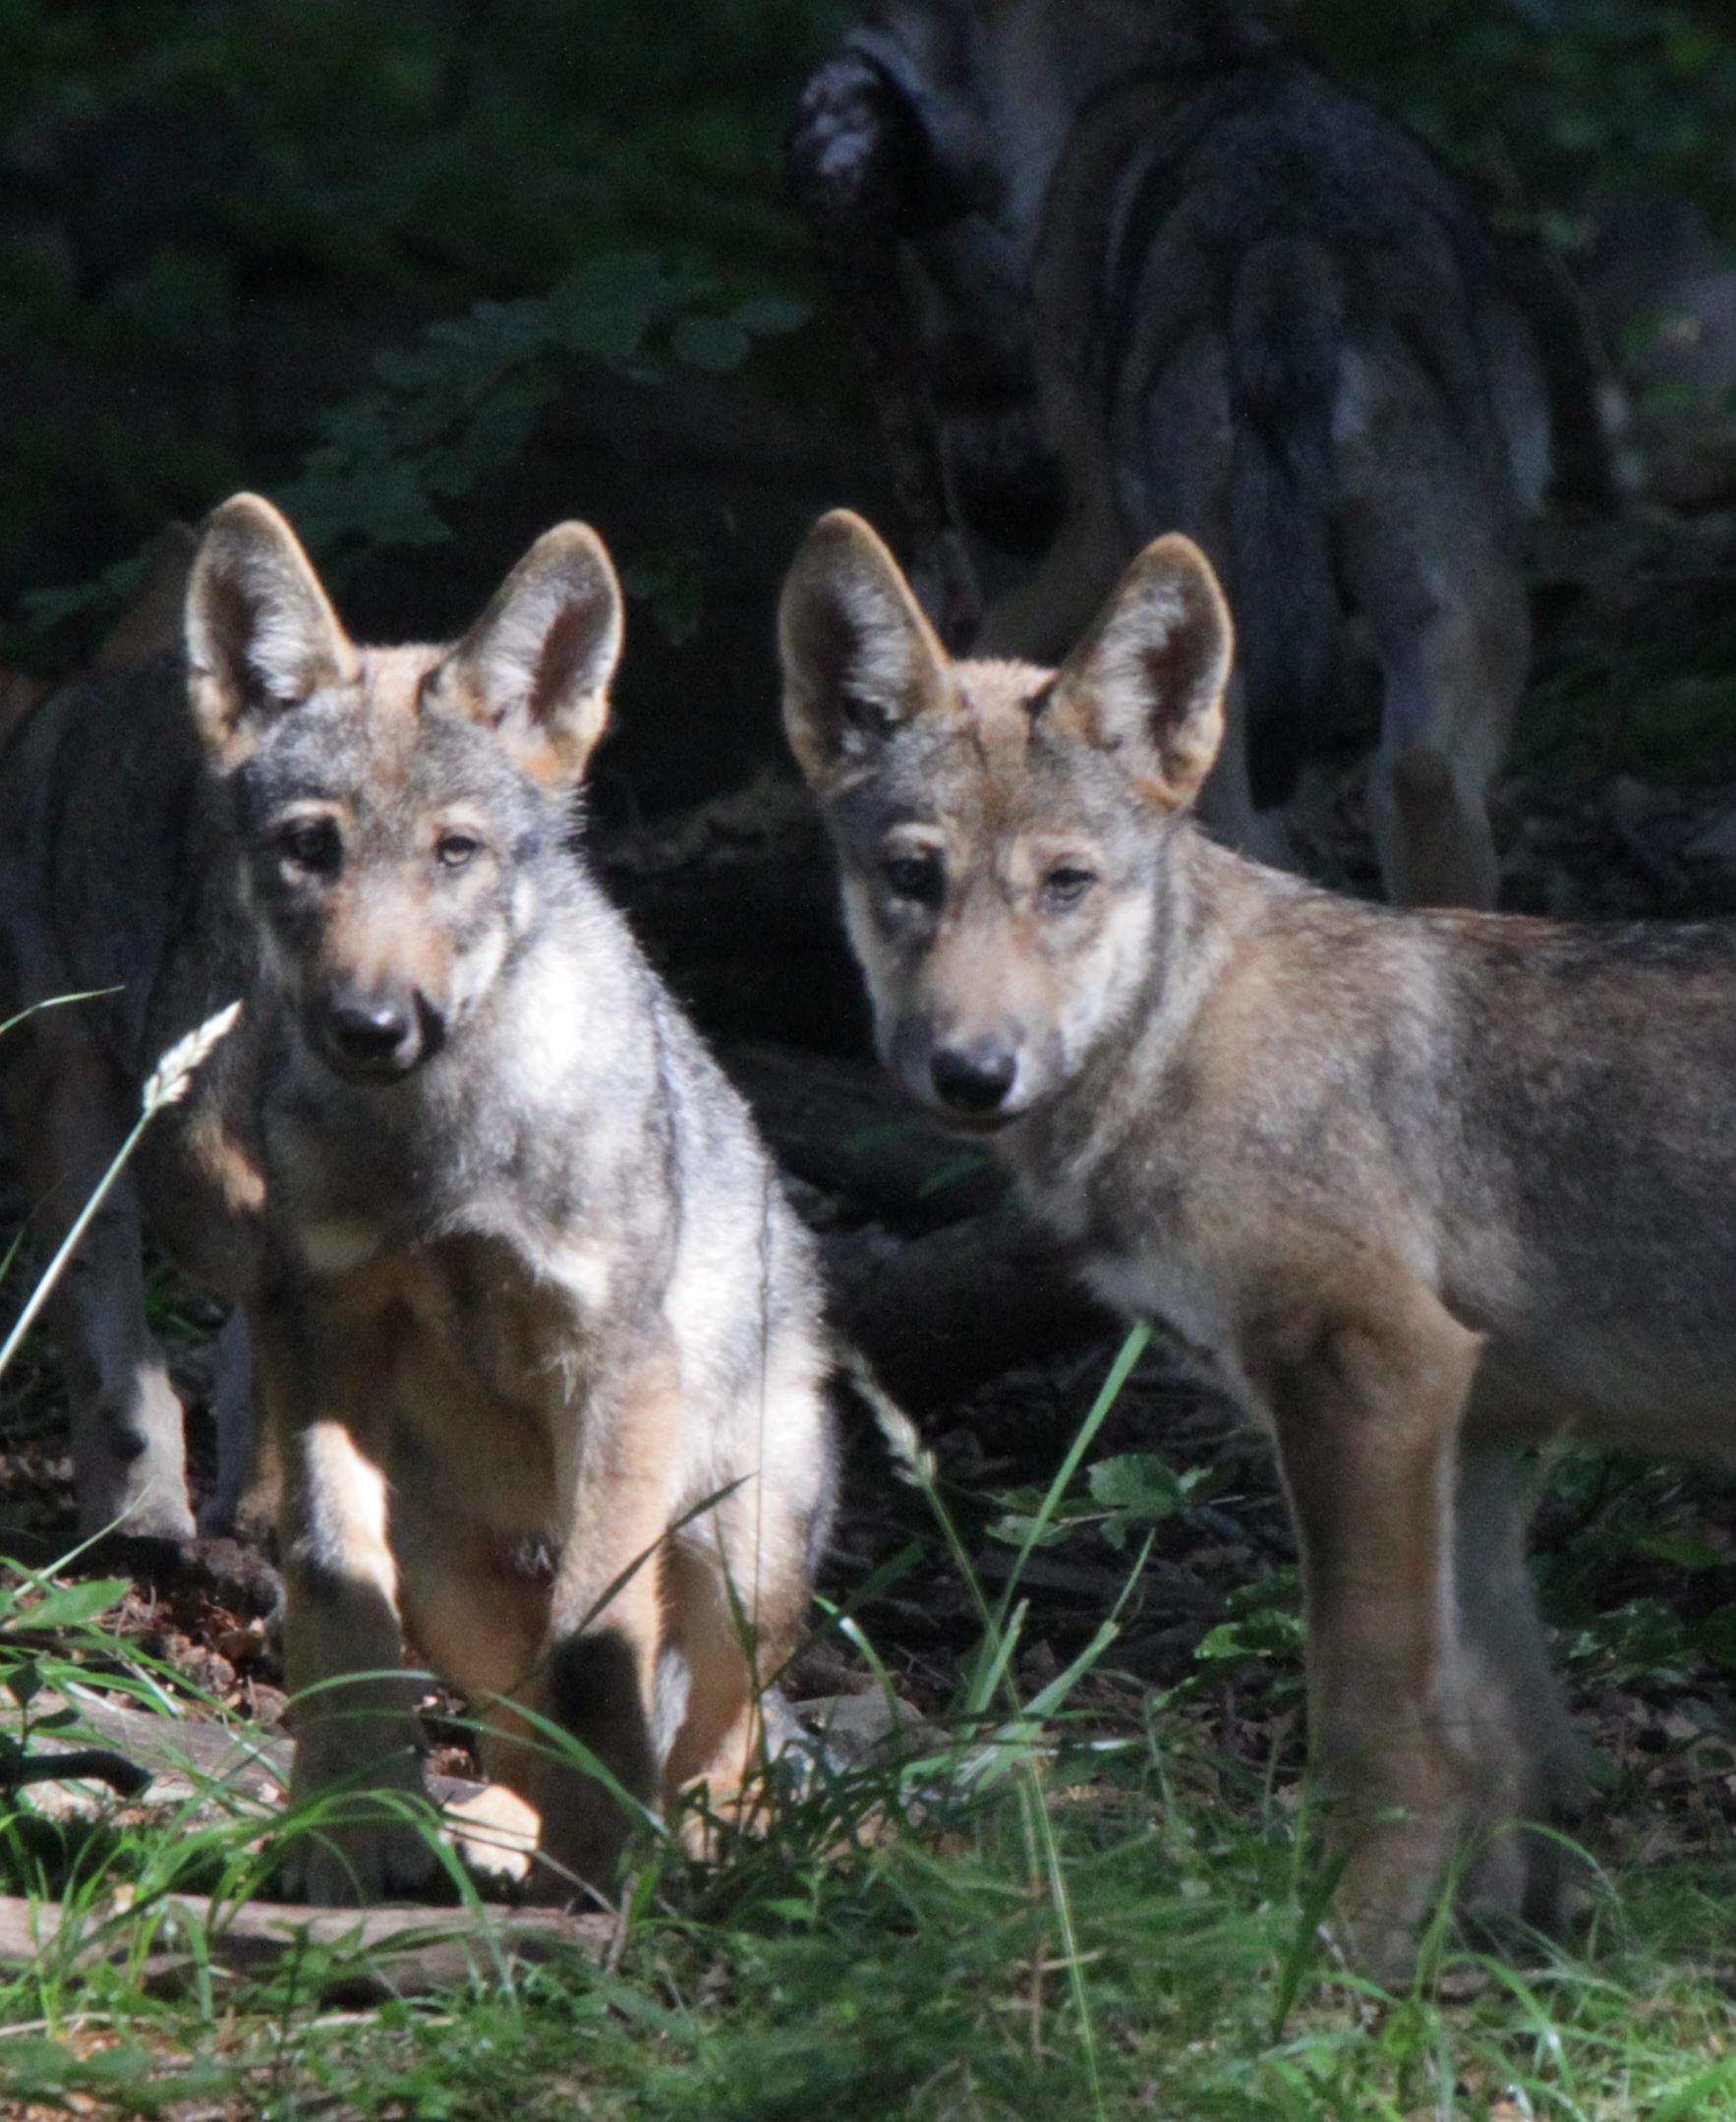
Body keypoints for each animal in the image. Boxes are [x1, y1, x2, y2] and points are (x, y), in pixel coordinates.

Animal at [0, 500, 839, 1910]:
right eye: (310, 848)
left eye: (455, 852)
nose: (370, 1024)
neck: (438, 1161)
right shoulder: (321, 1334)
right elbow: (337, 1587)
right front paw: (341, 1832)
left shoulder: (613, 1370)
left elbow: (601, 1644)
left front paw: (598, 1872)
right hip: (453, 1566)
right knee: (508, 1714)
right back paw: (498, 1828)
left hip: (740, 1552)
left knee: (722, 1741)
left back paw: (694, 1850)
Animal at [781, 504, 1731, 1978]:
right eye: (910, 878)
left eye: (1065, 885)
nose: (970, 1071)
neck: (1181, 1042)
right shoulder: (1478, 1434)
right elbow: (1510, 1745)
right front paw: (1500, 1956)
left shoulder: (1371, 1374)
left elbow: (1377, 1718)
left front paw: (1342, 1953)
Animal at [789, 0, 1544, 903]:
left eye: (885, 17)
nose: (823, 84)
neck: (1176, 53)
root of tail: (1286, 259)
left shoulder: (1092, 529)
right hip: (1451, 622)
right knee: (1419, 783)